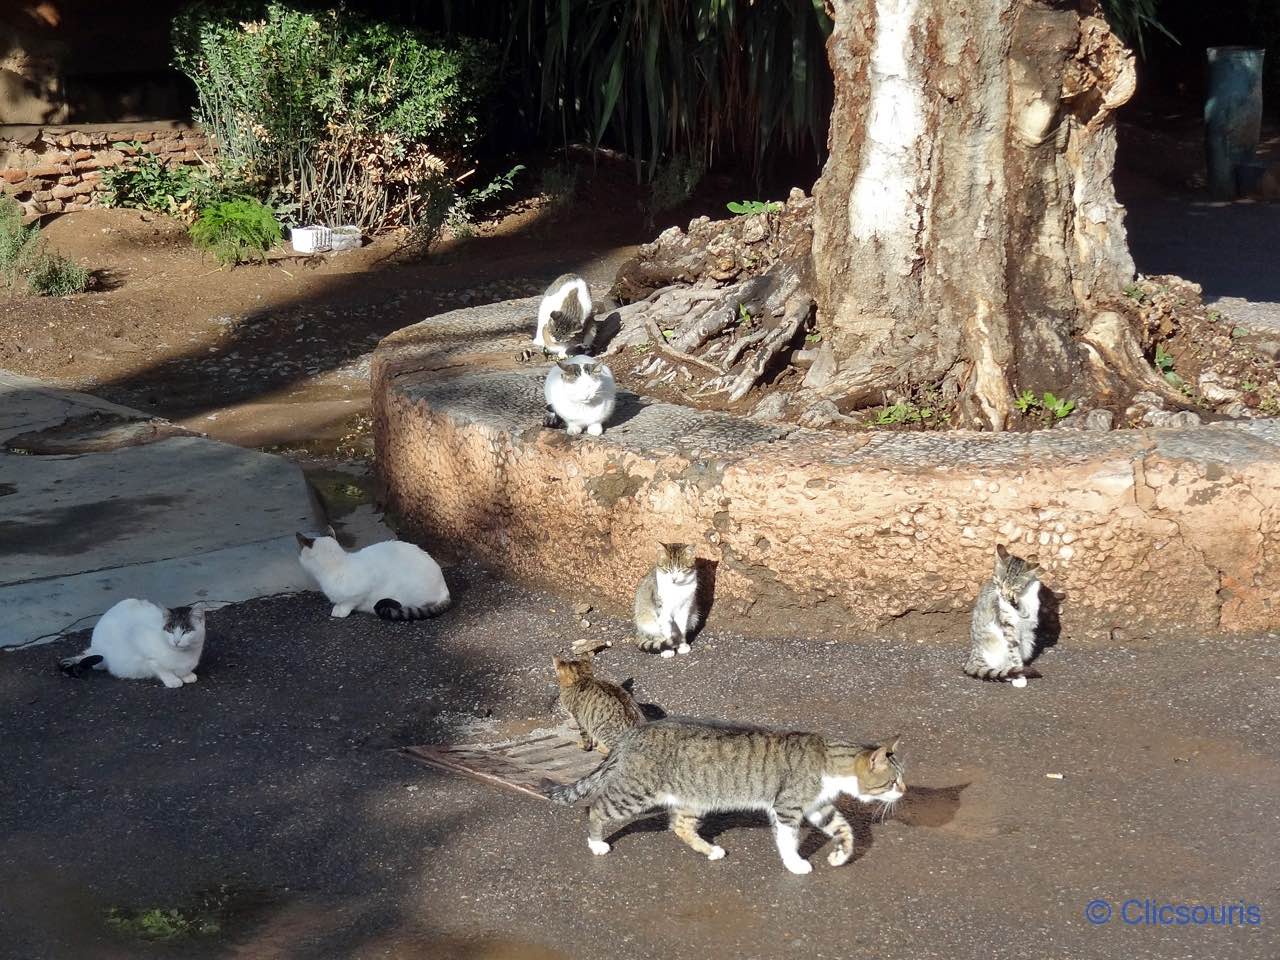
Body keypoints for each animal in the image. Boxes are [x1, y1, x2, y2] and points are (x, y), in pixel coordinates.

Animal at [59, 599, 204, 686]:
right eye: (170, 630)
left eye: (186, 632)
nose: (176, 641)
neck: (183, 655)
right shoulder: (138, 639)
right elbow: (160, 667)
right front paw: (172, 680)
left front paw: (186, 675)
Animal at [545, 716, 906, 875]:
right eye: (892, 782)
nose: (904, 792)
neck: (828, 761)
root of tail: (635, 731)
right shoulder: (787, 807)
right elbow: (787, 839)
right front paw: (795, 863)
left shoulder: (819, 807)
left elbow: (845, 830)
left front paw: (840, 856)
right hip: (634, 793)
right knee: (596, 808)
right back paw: (596, 844)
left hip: (694, 799)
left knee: (679, 825)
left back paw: (711, 850)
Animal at [967, 545, 1039, 686]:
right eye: (999, 583)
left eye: (1014, 588)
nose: (1003, 595)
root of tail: (973, 655)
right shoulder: (1007, 625)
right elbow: (1014, 653)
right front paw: (1020, 677)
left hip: (1028, 642)